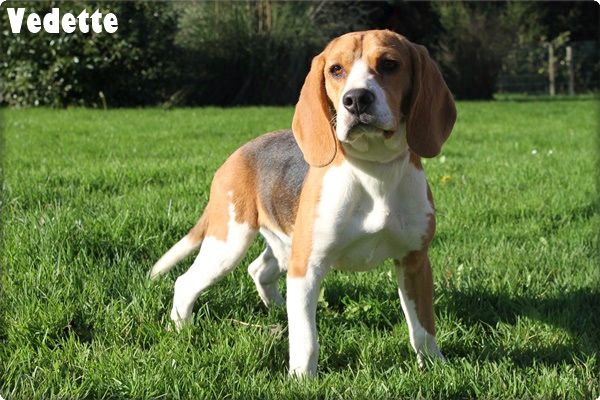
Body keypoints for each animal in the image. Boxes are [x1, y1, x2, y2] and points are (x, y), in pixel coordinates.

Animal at [150, 29, 454, 376]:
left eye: (390, 64)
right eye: (336, 69)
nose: (356, 99)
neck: (374, 169)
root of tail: (238, 153)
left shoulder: (414, 261)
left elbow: (423, 327)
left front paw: (435, 365)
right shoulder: (307, 268)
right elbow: (307, 339)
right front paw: (302, 379)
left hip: (284, 248)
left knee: (260, 270)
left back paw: (277, 309)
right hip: (230, 243)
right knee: (185, 282)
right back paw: (180, 329)